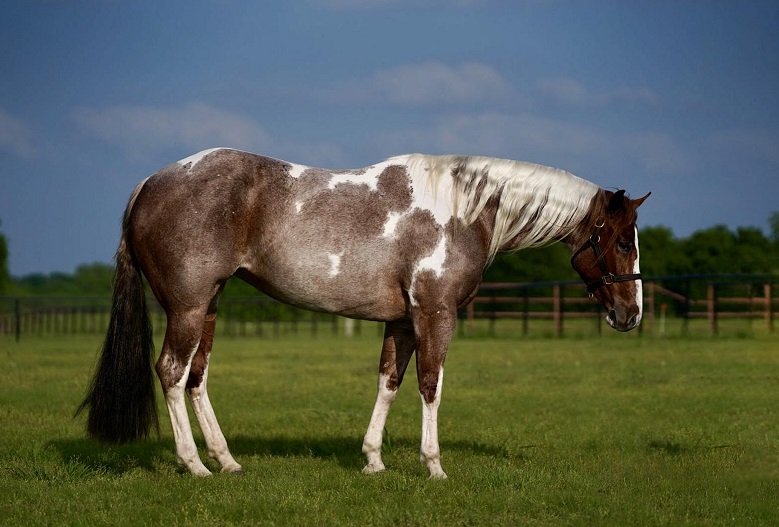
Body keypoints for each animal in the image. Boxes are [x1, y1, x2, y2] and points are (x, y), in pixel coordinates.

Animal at [77, 148, 650, 479]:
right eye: (623, 242)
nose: (631, 315)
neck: (463, 210)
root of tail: (149, 183)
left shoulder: (402, 320)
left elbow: (389, 382)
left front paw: (373, 460)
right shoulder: (435, 314)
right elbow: (430, 385)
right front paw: (433, 466)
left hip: (210, 306)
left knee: (197, 378)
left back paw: (227, 461)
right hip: (189, 307)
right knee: (172, 373)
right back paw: (195, 466)